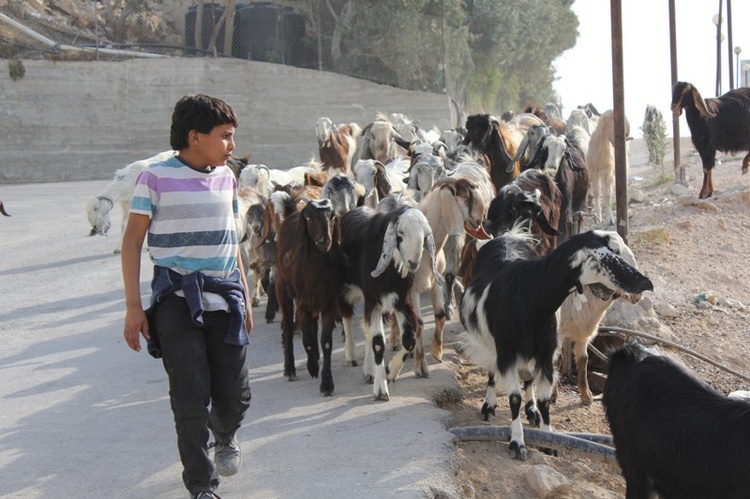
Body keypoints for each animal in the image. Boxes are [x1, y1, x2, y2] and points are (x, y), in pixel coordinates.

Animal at [458, 230, 652, 460]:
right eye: (611, 255)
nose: (644, 286)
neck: (532, 299)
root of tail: (508, 235)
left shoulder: (546, 353)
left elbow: (544, 399)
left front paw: (548, 439)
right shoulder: (507, 352)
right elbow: (514, 398)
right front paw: (517, 442)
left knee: (528, 377)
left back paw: (531, 411)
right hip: (492, 343)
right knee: (492, 371)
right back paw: (489, 406)